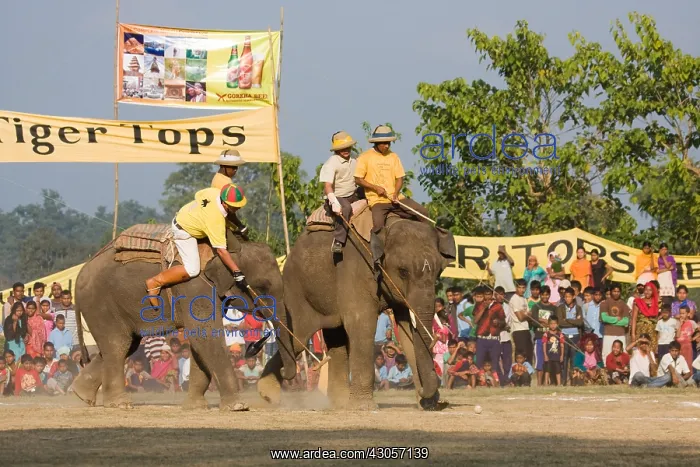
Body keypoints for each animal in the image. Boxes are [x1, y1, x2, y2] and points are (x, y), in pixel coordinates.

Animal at [71, 230, 295, 410]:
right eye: (262, 287)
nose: (285, 374)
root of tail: (81, 272)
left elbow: (199, 339)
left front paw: (196, 407)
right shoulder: (195, 287)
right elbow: (205, 335)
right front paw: (238, 407)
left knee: (125, 345)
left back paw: (81, 394)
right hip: (101, 303)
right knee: (118, 344)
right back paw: (119, 404)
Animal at [258, 217, 456, 410]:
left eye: (438, 272)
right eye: (403, 271)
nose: (423, 391)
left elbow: (407, 331)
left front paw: (429, 404)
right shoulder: (357, 269)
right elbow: (362, 323)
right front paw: (364, 407)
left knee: (334, 338)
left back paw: (338, 403)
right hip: (296, 288)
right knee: (299, 336)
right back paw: (268, 395)